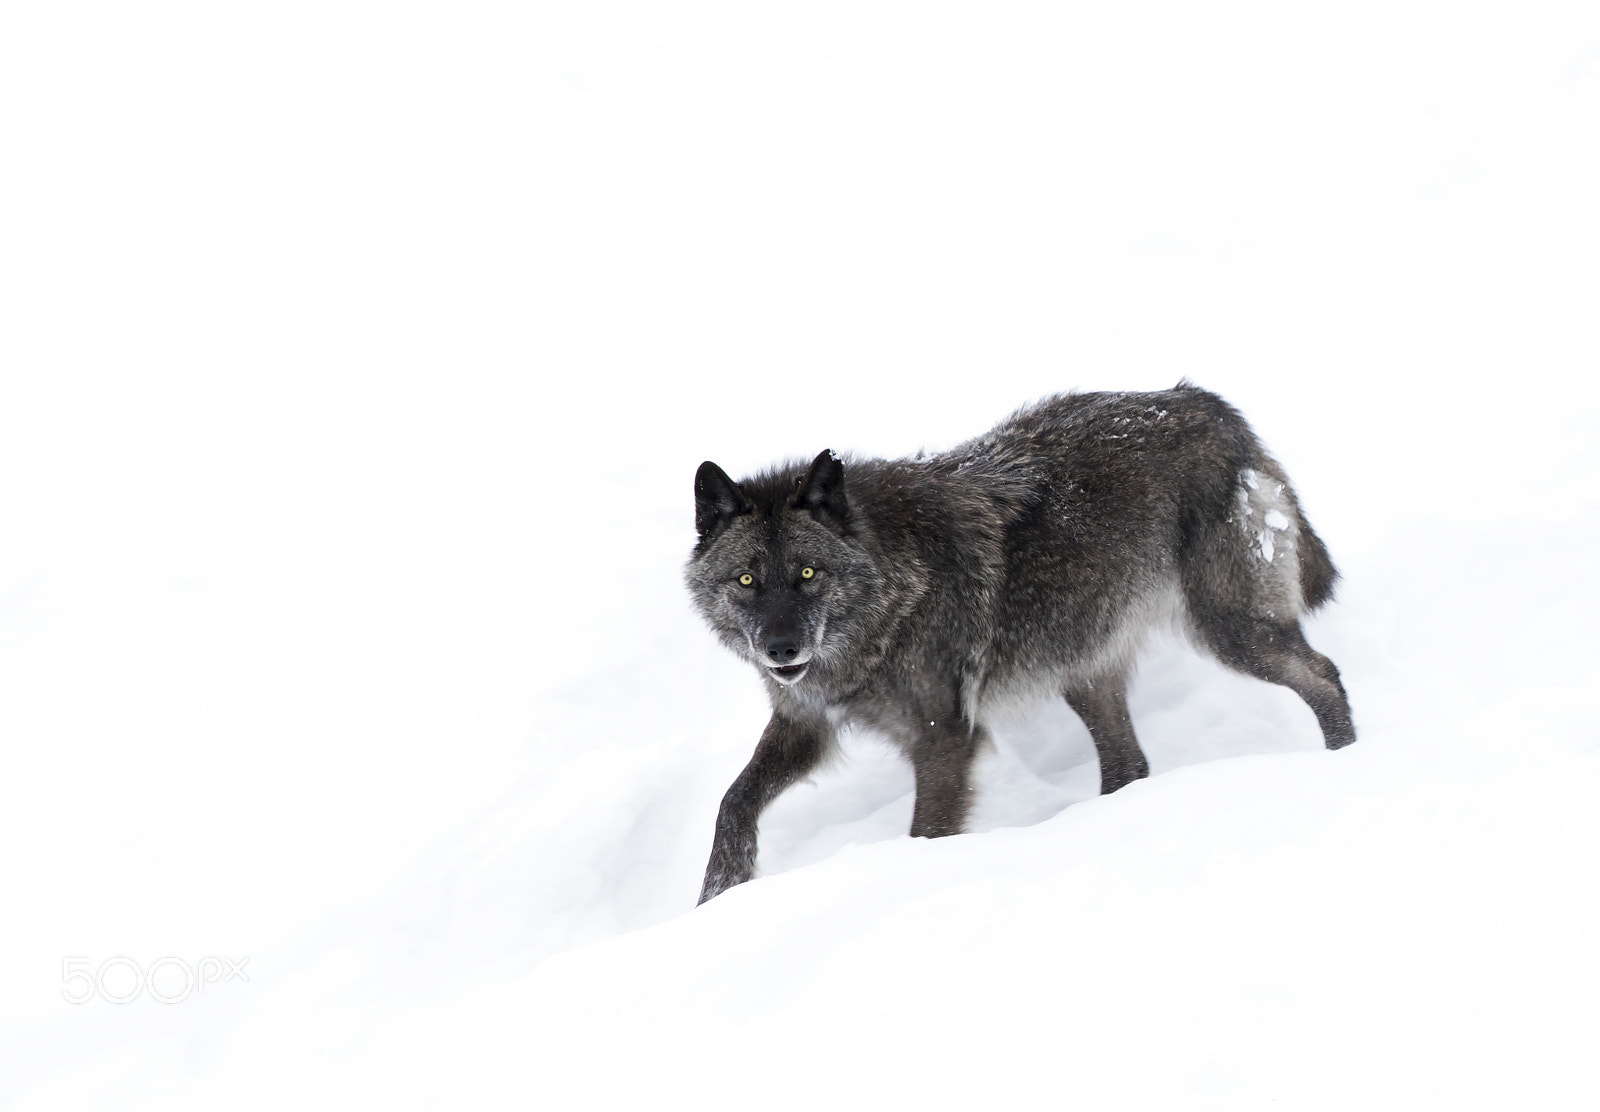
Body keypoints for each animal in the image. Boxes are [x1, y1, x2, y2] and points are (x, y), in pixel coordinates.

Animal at [684, 382, 1350, 902]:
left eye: (807, 574)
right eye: (746, 580)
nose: (781, 650)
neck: (888, 599)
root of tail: (1206, 404)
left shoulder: (945, 739)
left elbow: (927, 833)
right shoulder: (804, 722)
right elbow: (732, 801)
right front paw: (716, 899)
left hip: (1232, 633)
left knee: (1324, 676)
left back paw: (1346, 763)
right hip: (1080, 670)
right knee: (1129, 764)